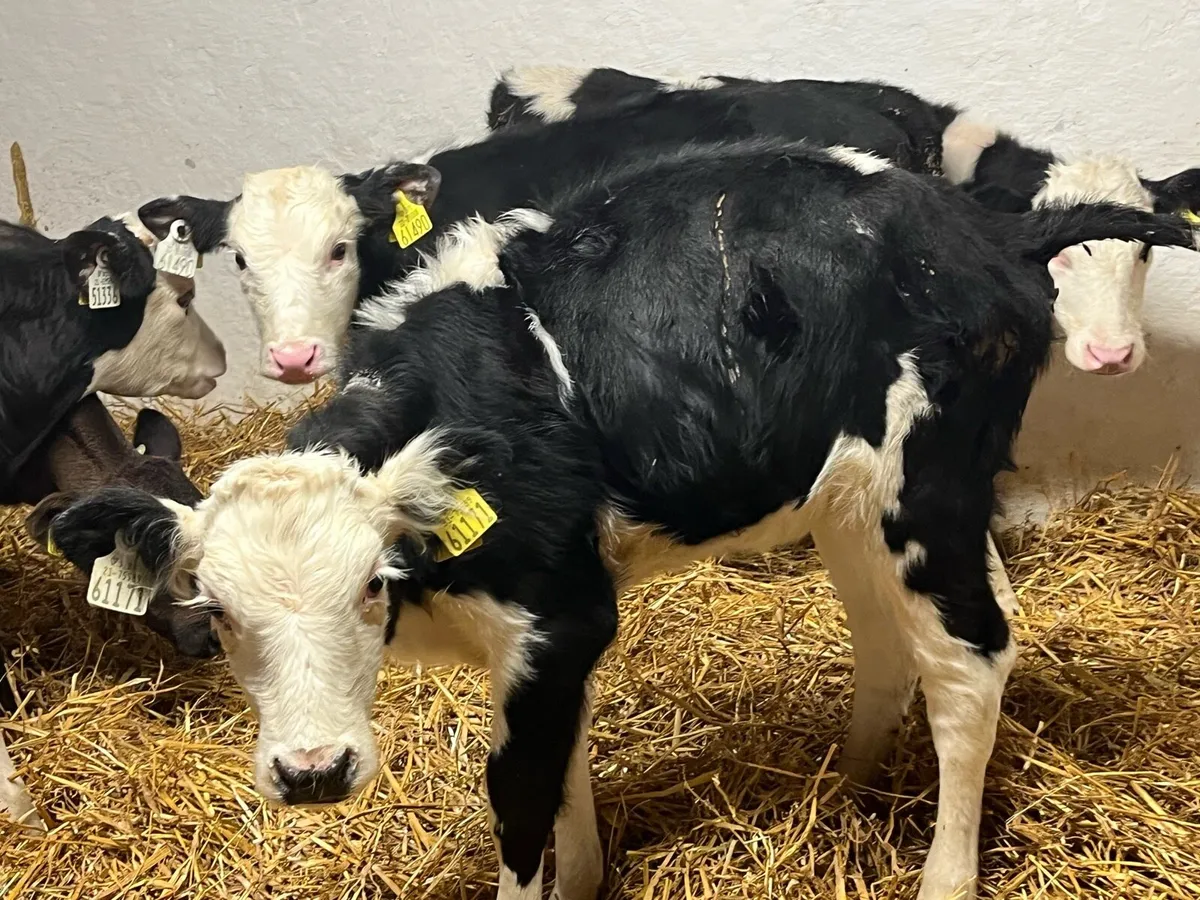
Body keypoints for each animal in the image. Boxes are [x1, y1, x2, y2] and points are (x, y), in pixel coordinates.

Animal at [47, 139, 1200, 898]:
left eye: (372, 586)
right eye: (215, 612)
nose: (312, 772)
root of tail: (987, 223)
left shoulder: (560, 615)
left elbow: (520, 791)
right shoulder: (553, 631)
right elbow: (564, 765)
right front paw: (588, 872)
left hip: (929, 485)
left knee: (970, 661)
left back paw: (943, 875)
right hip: (854, 498)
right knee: (896, 635)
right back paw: (850, 780)